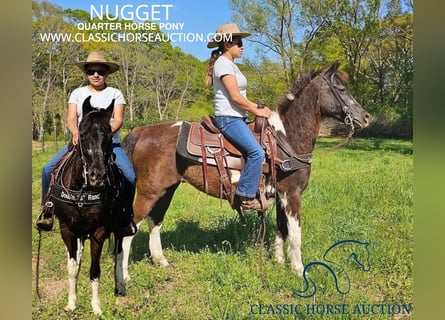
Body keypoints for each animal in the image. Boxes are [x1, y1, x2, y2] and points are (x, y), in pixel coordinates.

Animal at [47, 96, 134, 316]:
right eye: (83, 133)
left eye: (109, 134)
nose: (97, 176)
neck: (82, 190)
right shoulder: (67, 228)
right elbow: (72, 268)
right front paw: (71, 303)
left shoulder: (99, 230)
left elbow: (95, 270)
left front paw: (96, 307)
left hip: (119, 227)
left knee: (119, 253)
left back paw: (120, 287)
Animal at [119, 60, 370, 278]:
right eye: (341, 88)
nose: (366, 117)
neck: (286, 138)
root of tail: (142, 130)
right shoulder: (293, 194)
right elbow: (295, 233)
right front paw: (299, 270)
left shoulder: (281, 194)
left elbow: (281, 229)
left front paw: (279, 262)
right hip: (149, 192)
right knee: (131, 228)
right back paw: (125, 276)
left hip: (166, 190)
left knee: (155, 221)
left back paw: (160, 261)